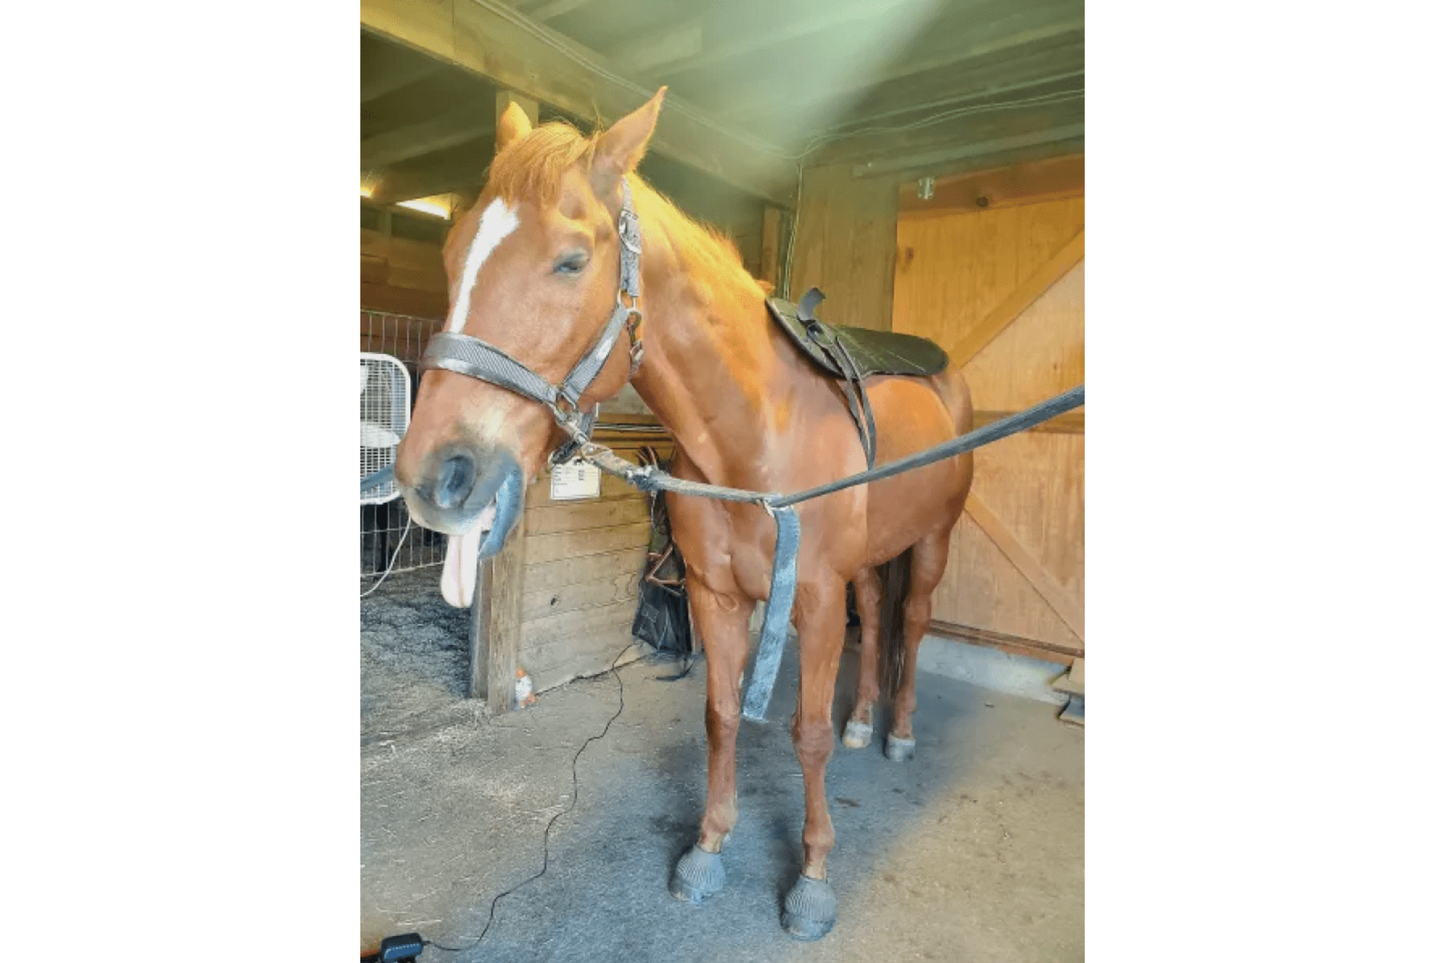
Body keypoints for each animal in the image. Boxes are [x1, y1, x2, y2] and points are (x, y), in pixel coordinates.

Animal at [393, 88, 974, 941]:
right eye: (451, 254)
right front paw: (707, 848)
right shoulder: (713, 593)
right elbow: (722, 714)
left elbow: (805, 734)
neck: (756, 435)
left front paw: (812, 877)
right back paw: (864, 719)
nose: (433, 474)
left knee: (914, 620)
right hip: (868, 562)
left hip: (932, 543)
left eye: (572, 260)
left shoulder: (813, 599)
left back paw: (895, 732)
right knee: (876, 615)